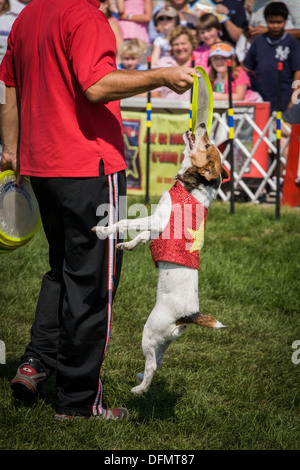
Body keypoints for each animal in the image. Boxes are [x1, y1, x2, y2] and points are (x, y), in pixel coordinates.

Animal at [92, 123, 229, 394]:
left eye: (207, 144)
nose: (201, 124)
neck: (192, 188)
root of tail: (189, 316)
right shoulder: (155, 227)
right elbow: (141, 237)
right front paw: (127, 245)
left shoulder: (157, 219)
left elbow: (124, 222)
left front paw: (104, 230)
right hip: (166, 339)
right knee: (160, 359)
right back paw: (139, 376)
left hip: (150, 331)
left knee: (153, 364)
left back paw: (139, 389)